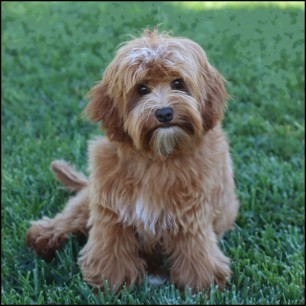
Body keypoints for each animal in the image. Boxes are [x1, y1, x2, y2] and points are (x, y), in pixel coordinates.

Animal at [26, 29, 239, 294]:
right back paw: (43, 236)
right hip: (90, 197)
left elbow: (195, 249)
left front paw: (201, 283)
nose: (164, 113)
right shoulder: (110, 208)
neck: (157, 156)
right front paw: (110, 282)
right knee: (70, 215)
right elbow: (110, 247)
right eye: (142, 88)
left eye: (178, 83)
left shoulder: (192, 215)